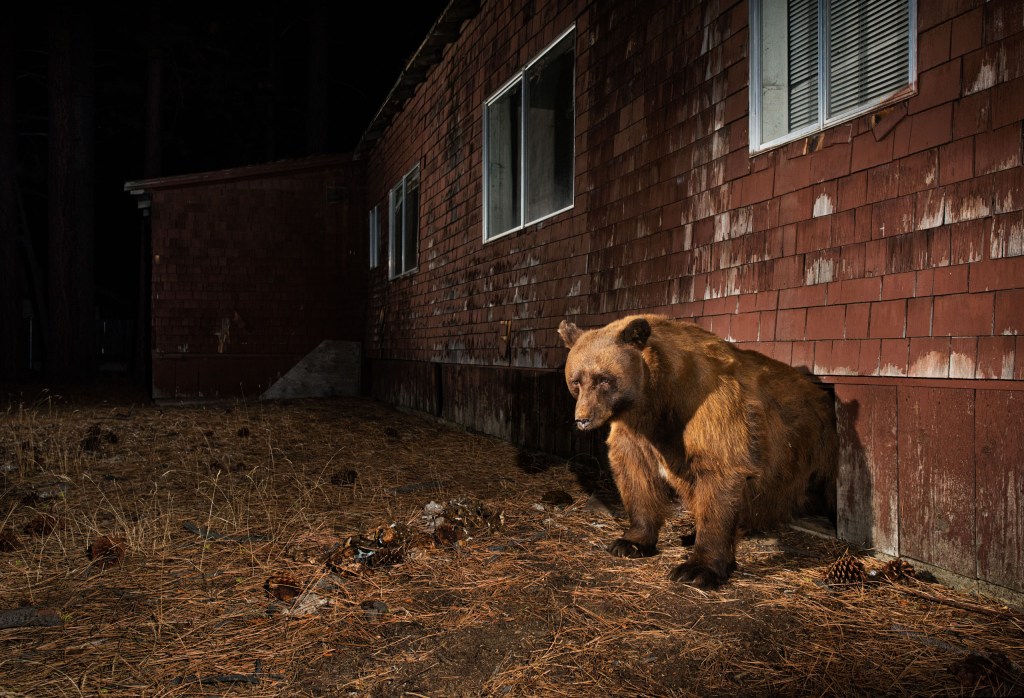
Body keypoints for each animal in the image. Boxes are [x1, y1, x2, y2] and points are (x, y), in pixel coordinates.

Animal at [558, 314, 838, 589]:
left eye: (604, 379)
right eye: (576, 381)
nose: (582, 419)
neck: (657, 400)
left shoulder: (708, 408)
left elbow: (720, 473)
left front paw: (697, 569)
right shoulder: (637, 433)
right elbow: (636, 474)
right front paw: (630, 542)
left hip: (817, 445)